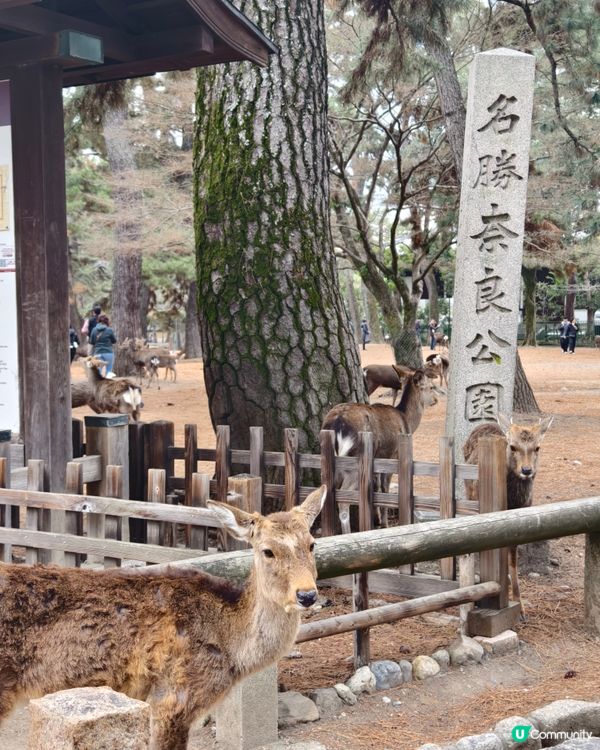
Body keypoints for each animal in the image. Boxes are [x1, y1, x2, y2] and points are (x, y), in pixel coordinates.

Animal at [322, 365, 439, 529]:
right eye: (431, 387)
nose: (436, 400)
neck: (407, 420)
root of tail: (337, 422)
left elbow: (377, 488)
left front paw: (377, 519)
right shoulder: (393, 457)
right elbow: (385, 488)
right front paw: (384, 523)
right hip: (354, 462)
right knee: (344, 499)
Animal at [463, 414, 553, 616]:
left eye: (537, 447)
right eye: (512, 446)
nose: (526, 470)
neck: (512, 502)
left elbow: (512, 560)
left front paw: (520, 608)